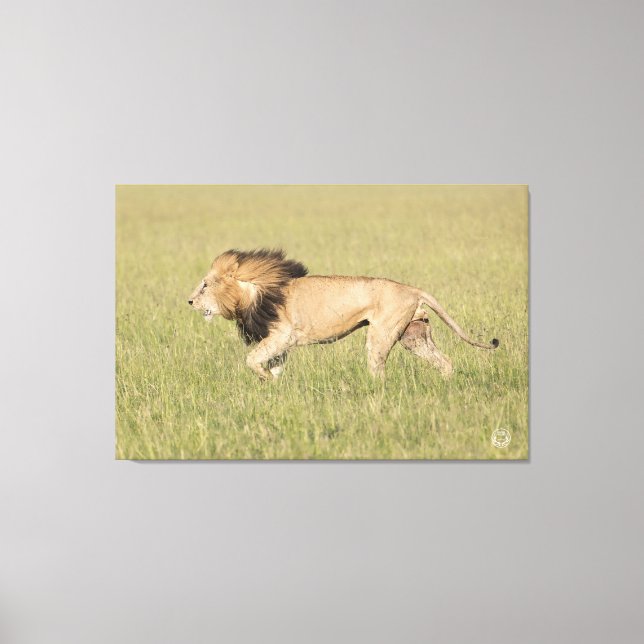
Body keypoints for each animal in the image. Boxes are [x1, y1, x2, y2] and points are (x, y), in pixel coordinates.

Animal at [188, 248, 498, 380]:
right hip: (414, 335)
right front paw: (274, 386)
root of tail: (412, 289)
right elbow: (274, 366)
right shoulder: (281, 344)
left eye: (204, 285)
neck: (251, 293)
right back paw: (446, 384)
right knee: (445, 361)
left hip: (381, 335)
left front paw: (264, 378)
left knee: (378, 369)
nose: (189, 301)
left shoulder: (283, 335)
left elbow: (251, 359)